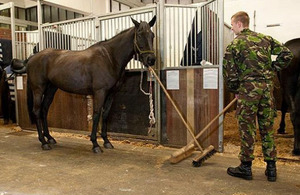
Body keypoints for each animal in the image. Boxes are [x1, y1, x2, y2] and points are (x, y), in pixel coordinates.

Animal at [25, 16, 156, 152]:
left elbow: (105, 114)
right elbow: (97, 114)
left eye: (152, 35)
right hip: (38, 89)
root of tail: (32, 58)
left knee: (44, 110)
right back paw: (43, 142)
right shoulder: (99, 92)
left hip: (51, 89)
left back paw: (50, 138)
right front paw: (95, 144)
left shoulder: (111, 93)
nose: (151, 60)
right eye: (140, 35)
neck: (109, 58)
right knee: (37, 111)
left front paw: (106, 141)